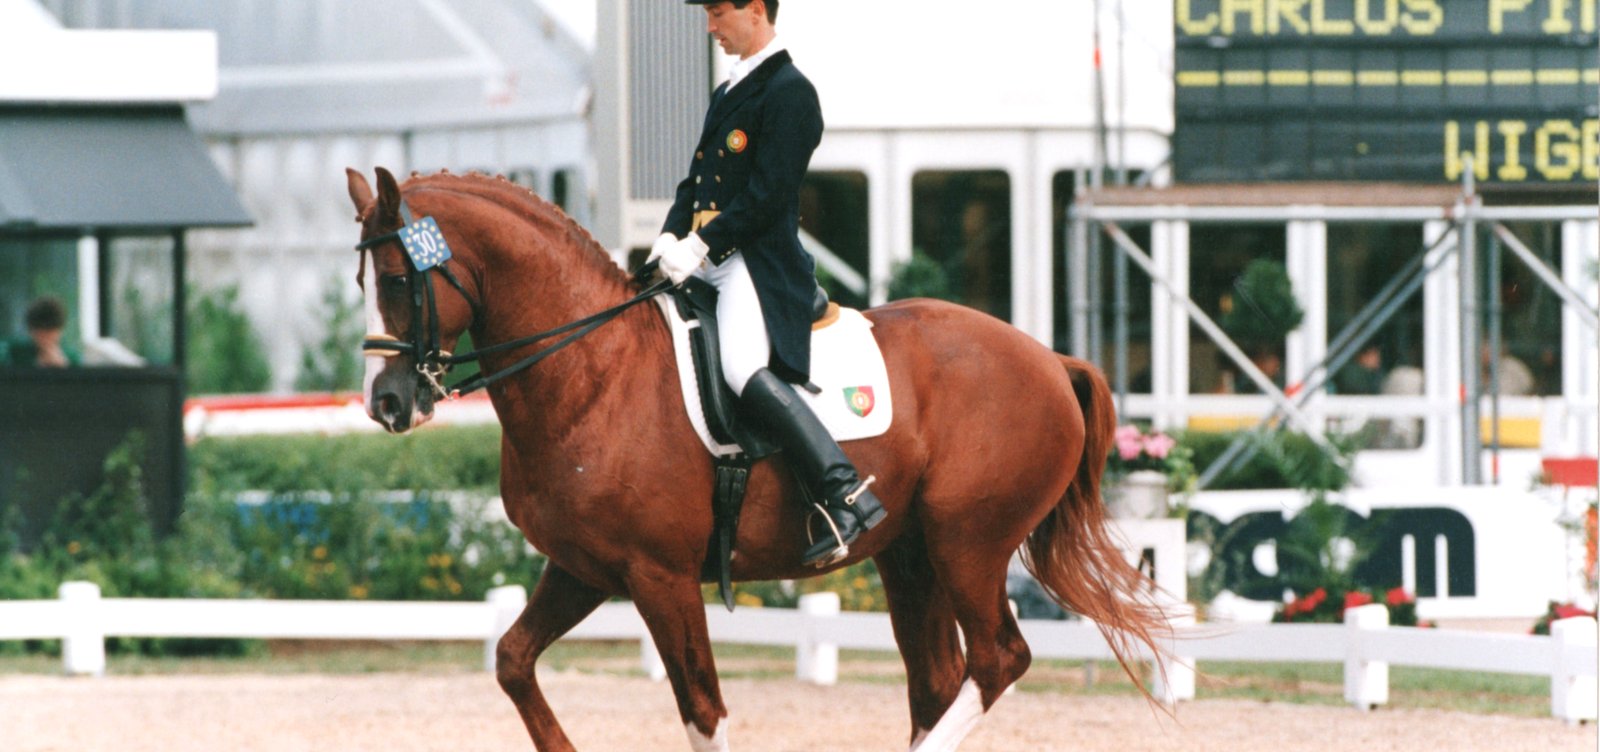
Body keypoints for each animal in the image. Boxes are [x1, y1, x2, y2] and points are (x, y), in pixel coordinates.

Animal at [347, 168, 1164, 752]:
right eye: (362, 281)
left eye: (399, 280)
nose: (385, 402)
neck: (592, 372)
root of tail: (1051, 359)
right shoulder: (584, 569)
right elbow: (513, 660)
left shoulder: (661, 577)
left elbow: (703, 711)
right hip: (909, 554)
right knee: (937, 684)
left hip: (970, 543)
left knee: (996, 661)